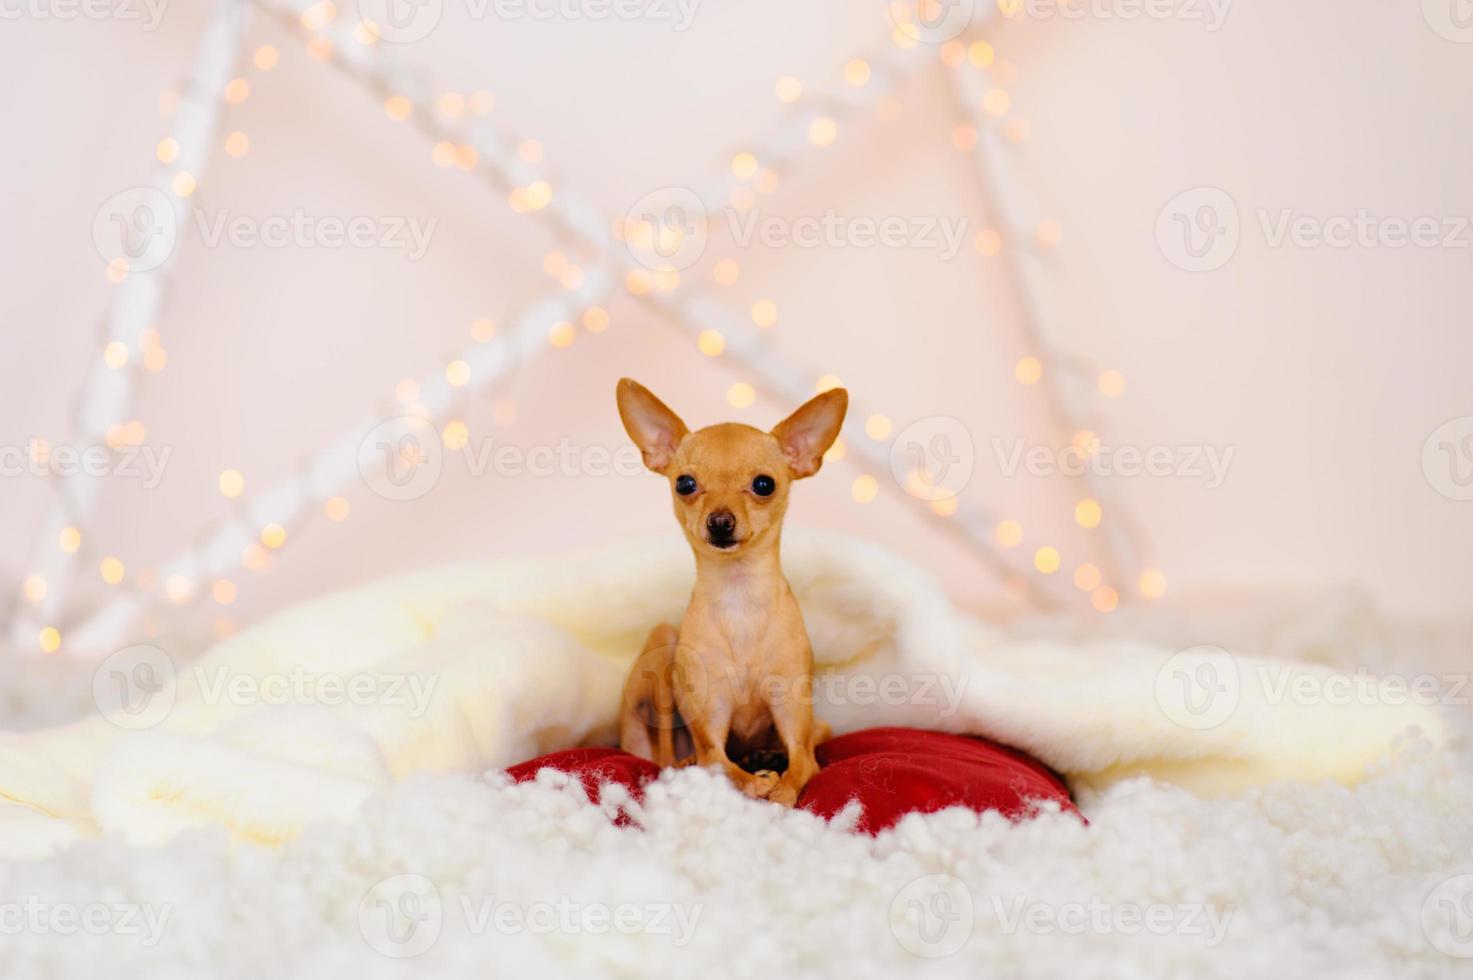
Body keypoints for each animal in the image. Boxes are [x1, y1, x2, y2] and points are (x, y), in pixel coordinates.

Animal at [615, 374, 848, 801]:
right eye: (685, 484)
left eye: (764, 484)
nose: (720, 521)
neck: (739, 596)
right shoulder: (711, 729)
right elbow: (722, 766)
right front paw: (757, 782)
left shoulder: (794, 721)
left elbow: (801, 767)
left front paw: (779, 788)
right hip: (663, 646)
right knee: (668, 757)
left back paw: (764, 755)